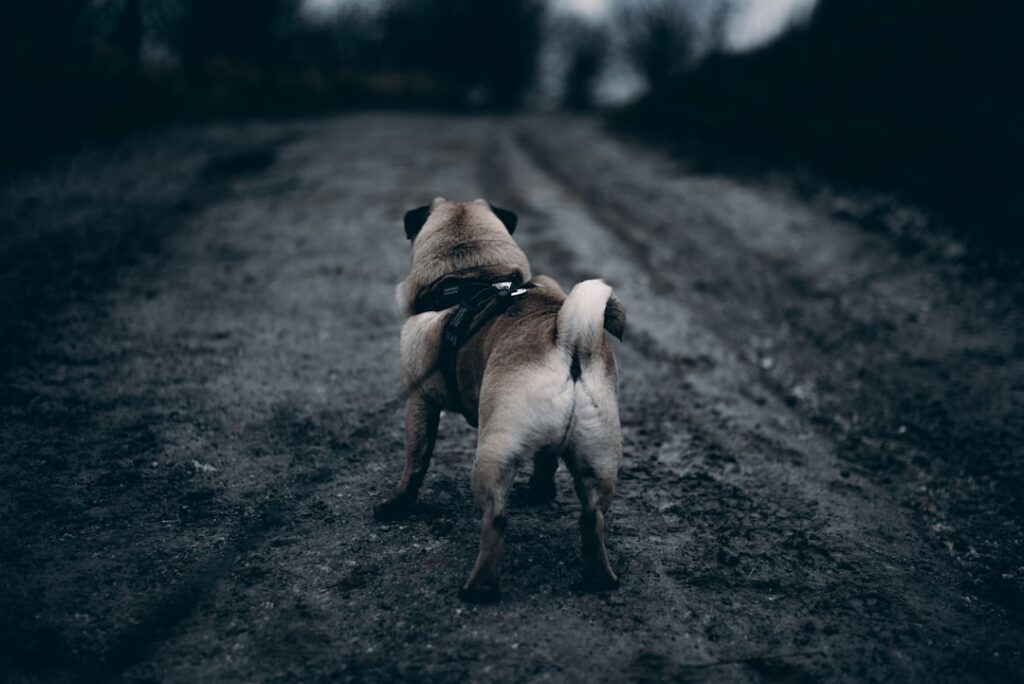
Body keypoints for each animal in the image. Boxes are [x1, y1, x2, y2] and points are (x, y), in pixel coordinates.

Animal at [372, 198, 618, 602]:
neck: (473, 277)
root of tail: (568, 341)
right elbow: (546, 463)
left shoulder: (421, 401)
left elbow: (415, 462)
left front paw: (397, 504)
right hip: (595, 455)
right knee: (591, 516)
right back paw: (598, 575)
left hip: (492, 453)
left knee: (496, 518)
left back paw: (478, 587)